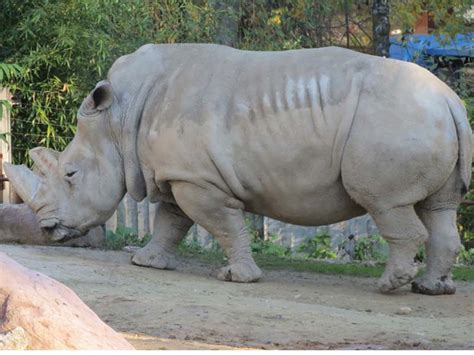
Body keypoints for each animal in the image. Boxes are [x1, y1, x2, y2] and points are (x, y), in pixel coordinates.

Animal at [3, 43, 470, 294]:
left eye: (70, 175)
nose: (46, 228)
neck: (118, 119)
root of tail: (451, 100)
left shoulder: (199, 179)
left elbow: (221, 225)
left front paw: (236, 277)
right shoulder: (180, 172)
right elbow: (170, 221)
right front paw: (147, 264)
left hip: (393, 121)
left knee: (387, 204)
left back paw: (389, 286)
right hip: (422, 116)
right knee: (439, 208)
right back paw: (431, 288)